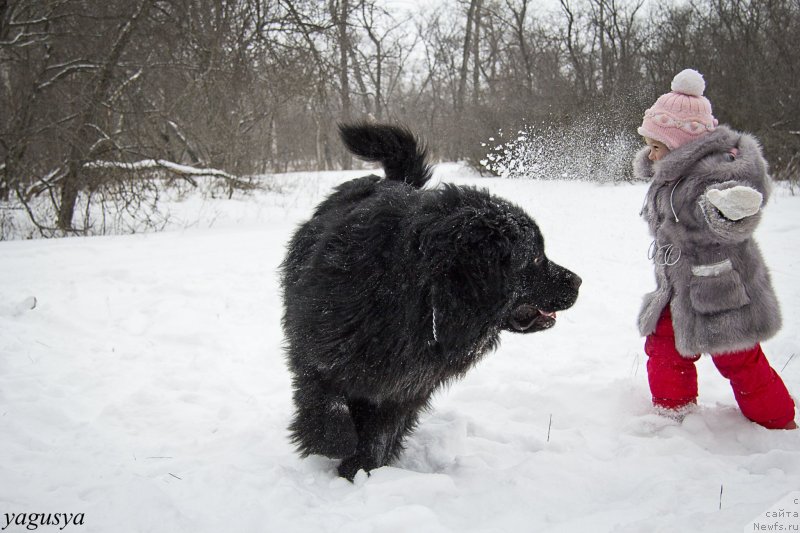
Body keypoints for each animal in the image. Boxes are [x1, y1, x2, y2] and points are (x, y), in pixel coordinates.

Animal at [282, 122, 580, 480]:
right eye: (535, 258)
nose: (578, 281)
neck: (421, 301)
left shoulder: (406, 387)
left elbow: (380, 433)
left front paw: (361, 470)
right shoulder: (319, 349)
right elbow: (327, 400)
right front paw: (334, 443)